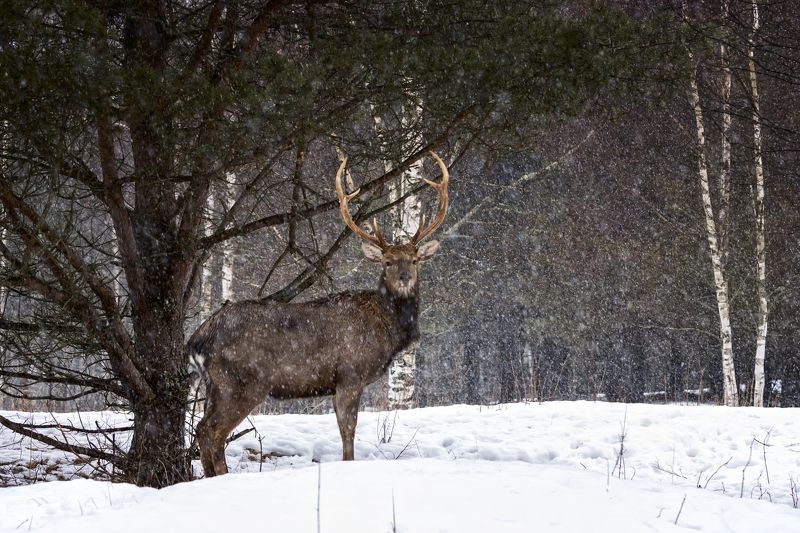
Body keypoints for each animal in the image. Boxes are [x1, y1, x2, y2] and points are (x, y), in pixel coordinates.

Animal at [189, 151, 449, 476]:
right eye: (387, 261)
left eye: (414, 259)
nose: (404, 278)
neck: (387, 329)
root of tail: (198, 338)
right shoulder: (350, 373)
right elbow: (348, 431)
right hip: (241, 382)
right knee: (212, 432)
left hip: (215, 385)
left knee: (202, 429)